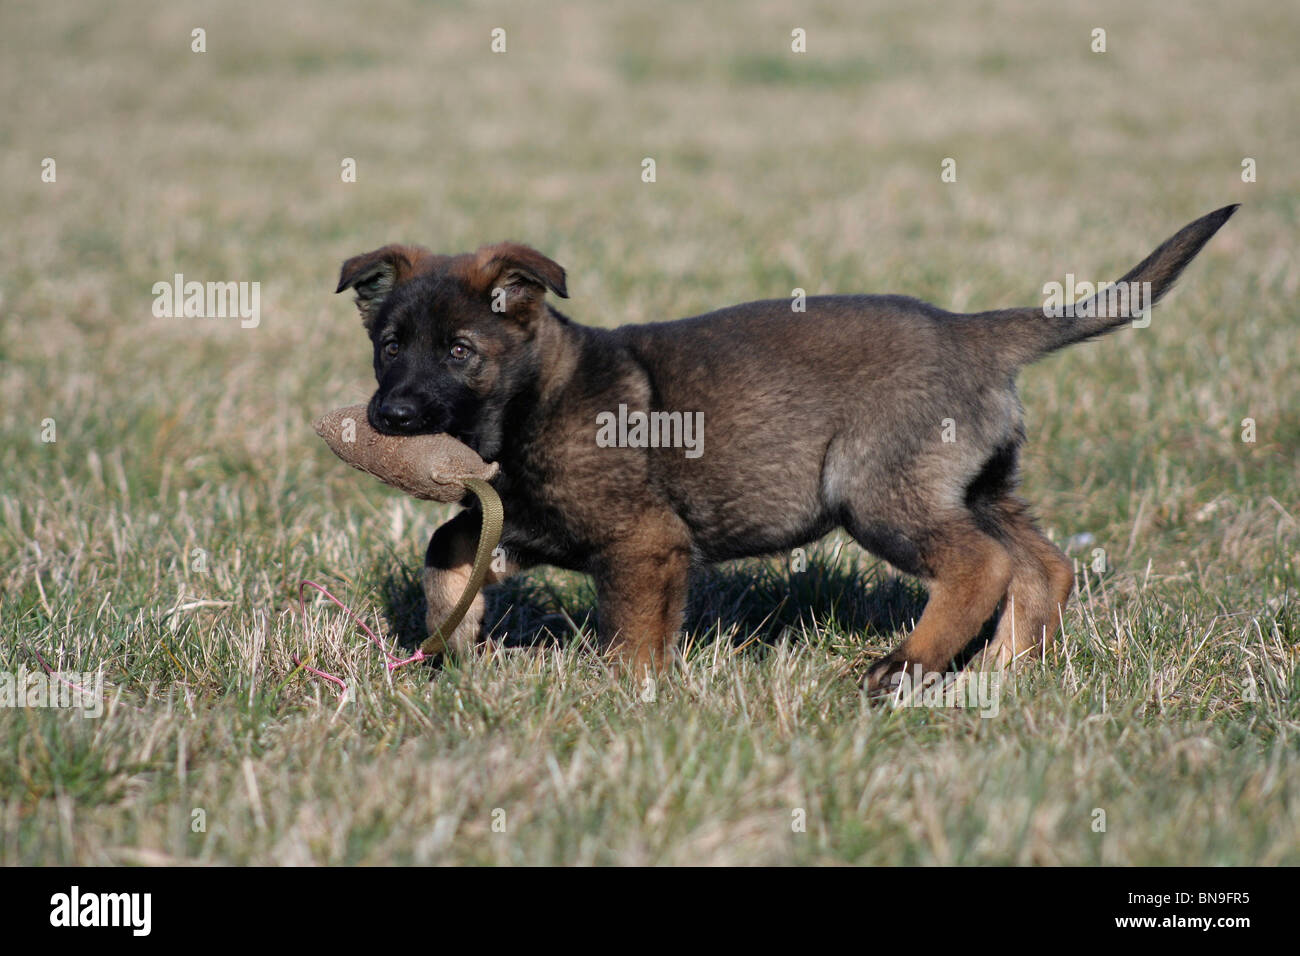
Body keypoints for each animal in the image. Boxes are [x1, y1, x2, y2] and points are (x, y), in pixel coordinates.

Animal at [335, 205, 1237, 691]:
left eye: (460, 351)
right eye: (388, 345)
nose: (391, 413)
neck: (534, 398)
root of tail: (971, 330)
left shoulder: (644, 542)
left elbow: (632, 639)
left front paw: (626, 700)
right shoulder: (522, 522)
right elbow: (447, 543)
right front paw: (454, 639)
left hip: (876, 491)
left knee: (982, 565)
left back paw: (905, 664)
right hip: (978, 484)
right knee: (1041, 566)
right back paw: (995, 676)